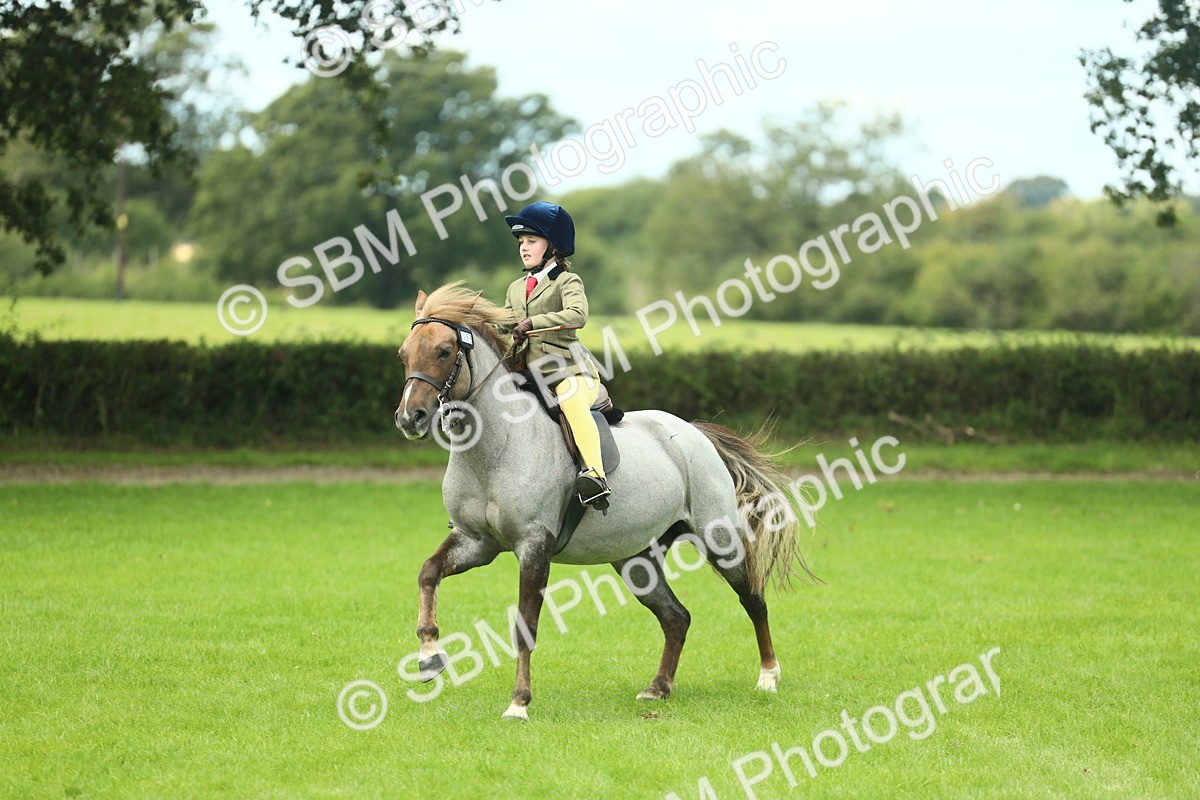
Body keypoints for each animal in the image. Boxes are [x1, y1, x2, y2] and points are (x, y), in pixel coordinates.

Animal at [395, 282, 815, 720]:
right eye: (404, 354)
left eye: (445, 351)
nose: (410, 418)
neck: (495, 447)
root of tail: (694, 432)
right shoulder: (477, 542)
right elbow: (428, 573)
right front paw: (428, 657)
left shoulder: (533, 546)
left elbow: (525, 626)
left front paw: (519, 703)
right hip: (636, 560)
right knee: (676, 617)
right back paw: (658, 688)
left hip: (718, 538)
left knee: (752, 597)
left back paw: (768, 677)